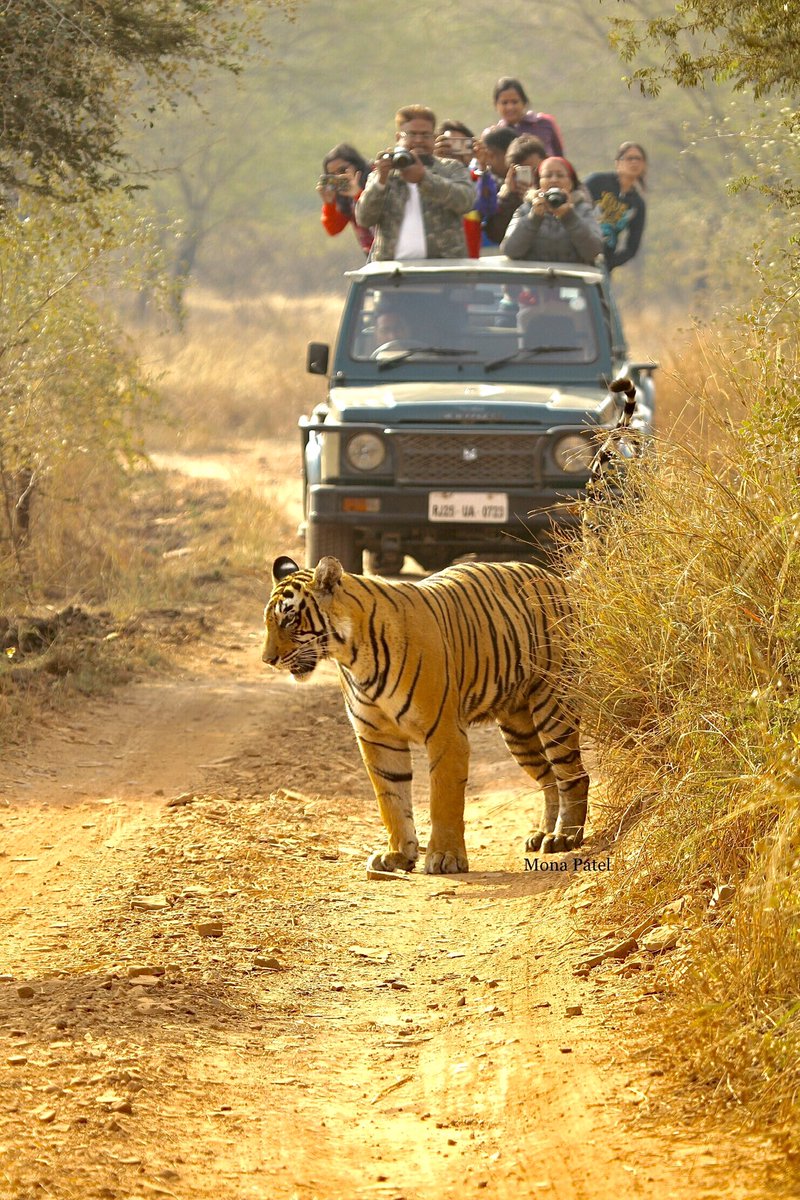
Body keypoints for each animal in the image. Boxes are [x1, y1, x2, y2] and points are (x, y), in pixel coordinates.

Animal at [262, 555, 589, 875]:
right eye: (268, 623)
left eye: (289, 619)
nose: (268, 660)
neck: (353, 658)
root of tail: (559, 580)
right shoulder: (377, 738)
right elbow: (391, 800)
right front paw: (397, 854)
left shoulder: (445, 733)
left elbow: (443, 801)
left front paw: (445, 857)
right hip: (518, 730)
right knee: (549, 778)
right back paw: (543, 834)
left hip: (554, 708)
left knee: (573, 775)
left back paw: (563, 837)